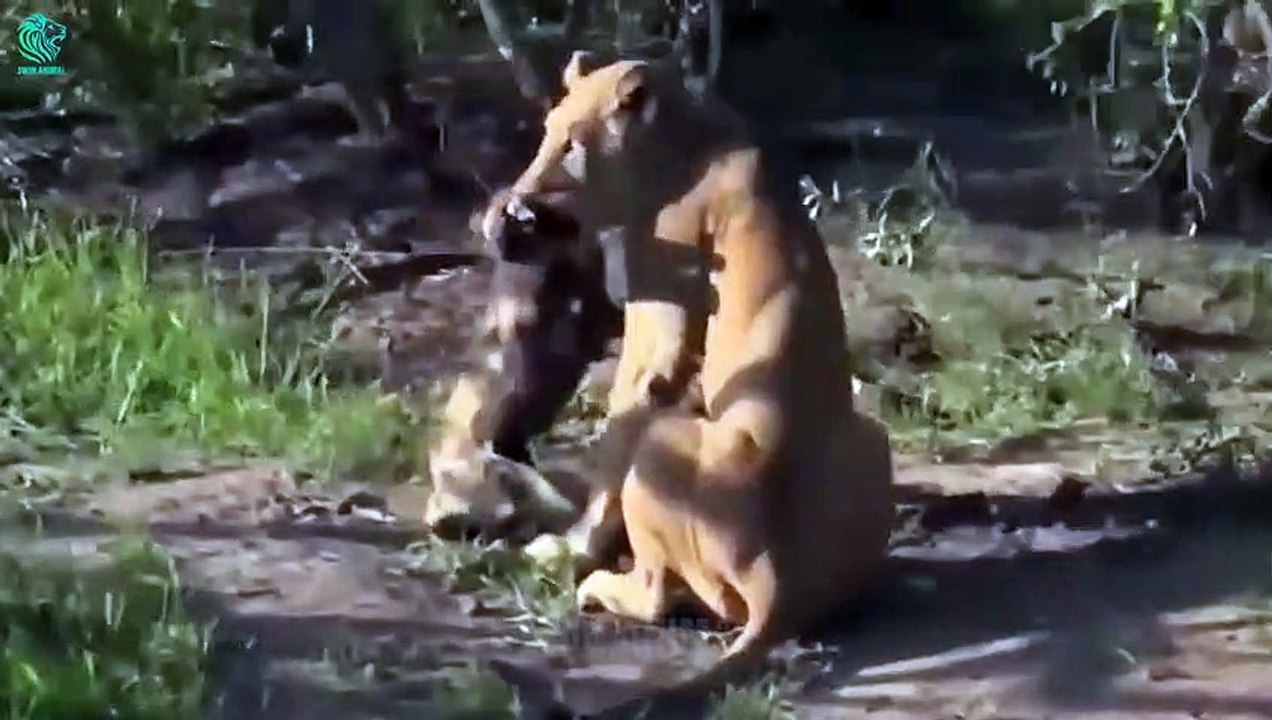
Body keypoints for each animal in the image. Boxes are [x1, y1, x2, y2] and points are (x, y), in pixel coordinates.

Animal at [482, 52, 896, 706]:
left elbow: (620, 428)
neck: (682, 134)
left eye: (572, 144)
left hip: (663, 445)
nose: (516, 204)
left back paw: (600, 584)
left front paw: (569, 549)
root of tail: (776, 585)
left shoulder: (657, 323)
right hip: (873, 438)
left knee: (654, 594)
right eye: (545, 133)